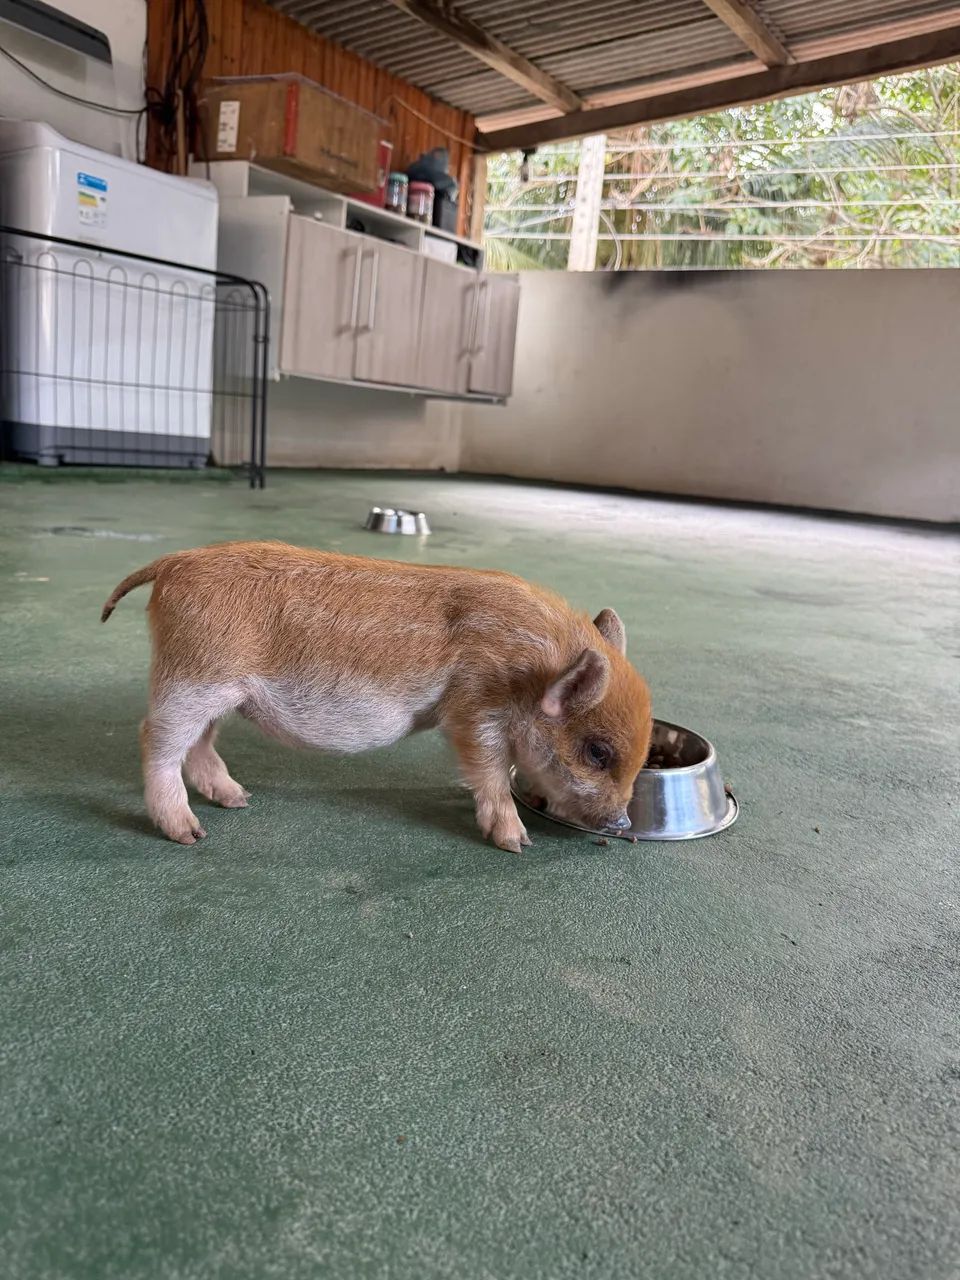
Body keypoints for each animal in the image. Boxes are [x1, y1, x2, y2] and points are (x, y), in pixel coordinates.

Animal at [101, 541, 653, 853]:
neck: (530, 671)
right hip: (191, 677)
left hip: (218, 691)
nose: (623, 823)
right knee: (155, 738)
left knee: (200, 743)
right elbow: (489, 770)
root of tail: (172, 563)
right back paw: (191, 834)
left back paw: (238, 799)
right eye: (597, 751)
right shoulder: (474, 708)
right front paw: (518, 844)